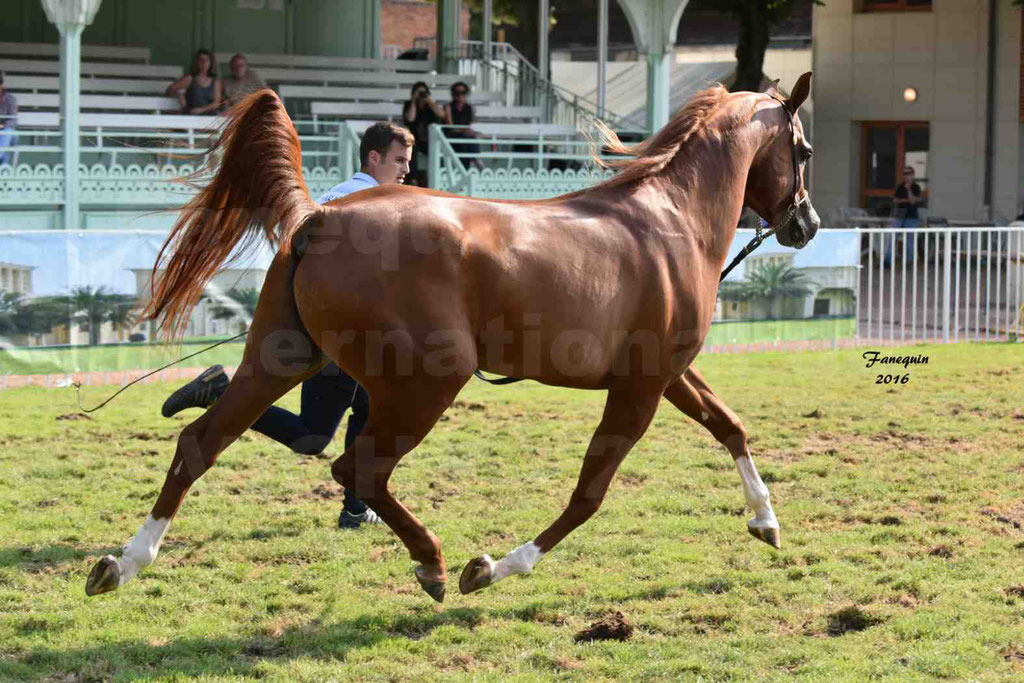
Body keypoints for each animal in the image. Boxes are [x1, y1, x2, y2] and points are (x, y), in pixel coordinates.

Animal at [90, 72, 823, 602]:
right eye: (805, 150)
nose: (807, 224)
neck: (670, 219)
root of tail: (319, 217)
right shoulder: (639, 387)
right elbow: (590, 492)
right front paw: (494, 566)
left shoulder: (666, 373)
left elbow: (730, 426)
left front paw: (766, 522)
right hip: (427, 383)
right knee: (357, 466)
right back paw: (436, 564)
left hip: (282, 359)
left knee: (202, 443)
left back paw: (123, 562)